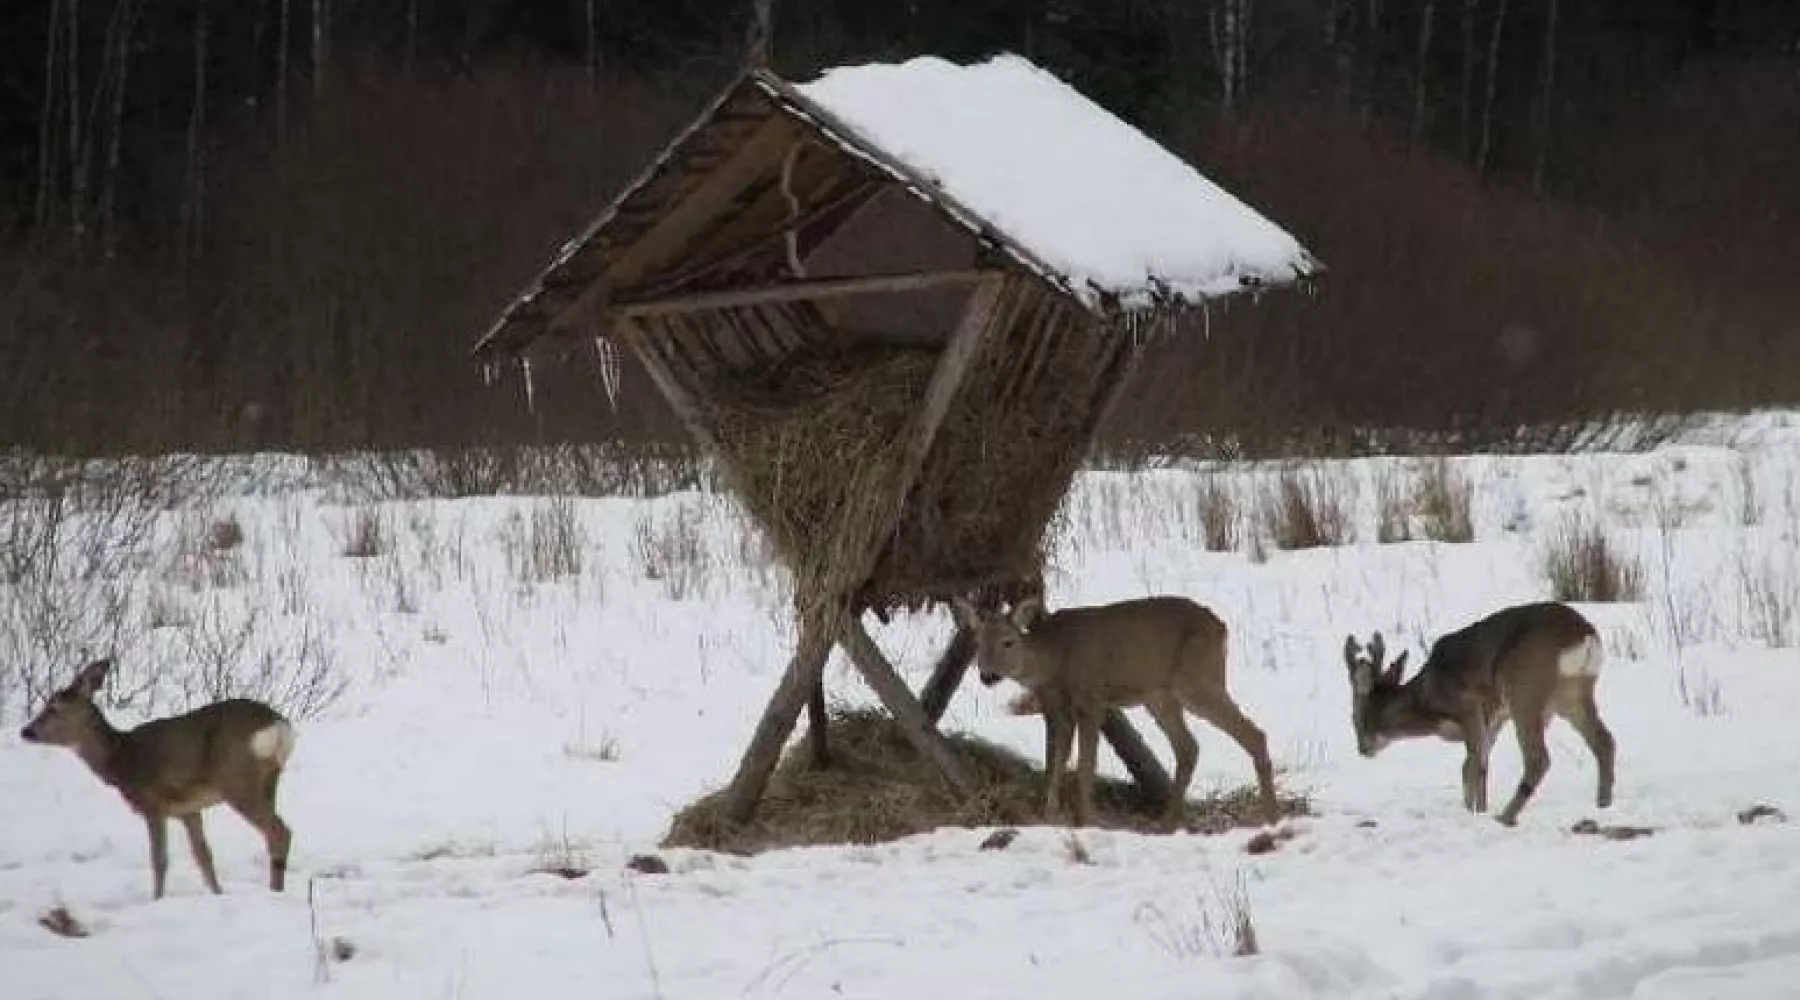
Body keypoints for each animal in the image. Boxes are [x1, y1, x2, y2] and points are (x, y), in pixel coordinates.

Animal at [17, 654, 297, 899]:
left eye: (54, 708)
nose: (26, 731)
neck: (120, 759)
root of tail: (279, 726)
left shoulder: (153, 803)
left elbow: (159, 860)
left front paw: (157, 900)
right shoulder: (189, 809)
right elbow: (204, 856)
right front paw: (218, 895)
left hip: (237, 779)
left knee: (279, 831)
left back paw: (275, 893)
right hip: (269, 780)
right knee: (275, 832)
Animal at [943, 593, 1281, 827]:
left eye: (1008, 641)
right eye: (977, 641)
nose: (987, 675)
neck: (1054, 661)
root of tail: (1222, 628)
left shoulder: (1092, 699)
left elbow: (1085, 764)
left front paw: (1088, 818)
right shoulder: (1059, 708)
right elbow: (1057, 760)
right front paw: (1050, 812)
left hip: (1198, 679)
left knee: (1254, 733)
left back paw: (1271, 816)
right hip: (1159, 696)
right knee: (1188, 746)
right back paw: (1168, 822)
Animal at [1346, 600, 1627, 827]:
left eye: (1354, 717)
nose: (1362, 749)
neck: (1429, 698)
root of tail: (1585, 634)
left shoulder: (1469, 706)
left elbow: (1470, 765)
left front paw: (1471, 812)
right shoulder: (1494, 717)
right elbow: (1481, 764)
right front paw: (1478, 809)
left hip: (1525, 689)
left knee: (1539, 758)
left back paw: (1505, 817)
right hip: (1573, 693)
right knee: (1605, 741)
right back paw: (1603, 804)